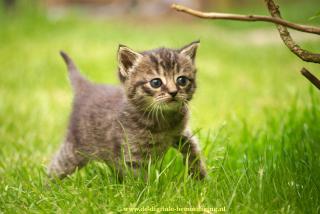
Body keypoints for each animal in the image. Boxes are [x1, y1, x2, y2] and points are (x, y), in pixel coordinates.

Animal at [47, 41, 208, 180]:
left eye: (182, 80)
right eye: (156, 82)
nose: (174, 92)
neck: (164, 119)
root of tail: (88, 88)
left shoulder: (182, 134)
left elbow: (194, 150)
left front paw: (200, 177)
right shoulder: (133, 154)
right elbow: (138, 179)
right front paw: (145, 193)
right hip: (74, 151)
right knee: (54, 168)